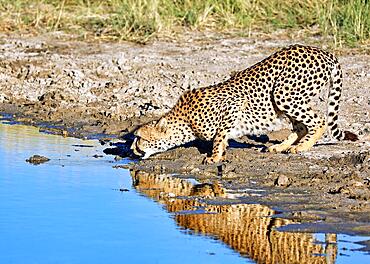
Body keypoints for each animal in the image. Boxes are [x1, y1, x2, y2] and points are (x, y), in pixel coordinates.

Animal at [131, 44, 358, 164]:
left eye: (139, 138)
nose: (132, 150)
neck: (185, 121)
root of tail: (323, 51)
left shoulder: (234, 104)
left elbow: (219, 135)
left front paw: (214, 157)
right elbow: (222, 137)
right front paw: (222, 152)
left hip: (283, 94)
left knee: (319, 121)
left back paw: (300, 148)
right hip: (287, 99)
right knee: (301, 126)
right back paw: (280, 147)